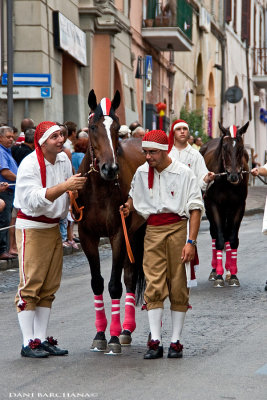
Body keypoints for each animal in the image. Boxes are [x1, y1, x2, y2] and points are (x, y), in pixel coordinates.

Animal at [75, 90, 147, 354]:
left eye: (116, 127)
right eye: (93, 127)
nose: (110, 168)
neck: (99, 187)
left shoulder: (118, 234)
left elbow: (115, 284)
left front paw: (114, 336)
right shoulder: (86, 235)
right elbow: (97, 282)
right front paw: (100, 334)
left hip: (137, 231)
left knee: (130, 276)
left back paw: (125, 331)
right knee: (130, 275)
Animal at [202, 121, 250, 288]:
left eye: (241, 147)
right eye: (224, 147)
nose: (234, 176)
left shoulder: (239, 206)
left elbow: (233, 239)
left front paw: (233, 275)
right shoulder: (213, 205)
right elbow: (219, 238)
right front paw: (218, 276)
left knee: (228, 234)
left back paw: (228, 270)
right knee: (215, 234)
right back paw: (214, 270)